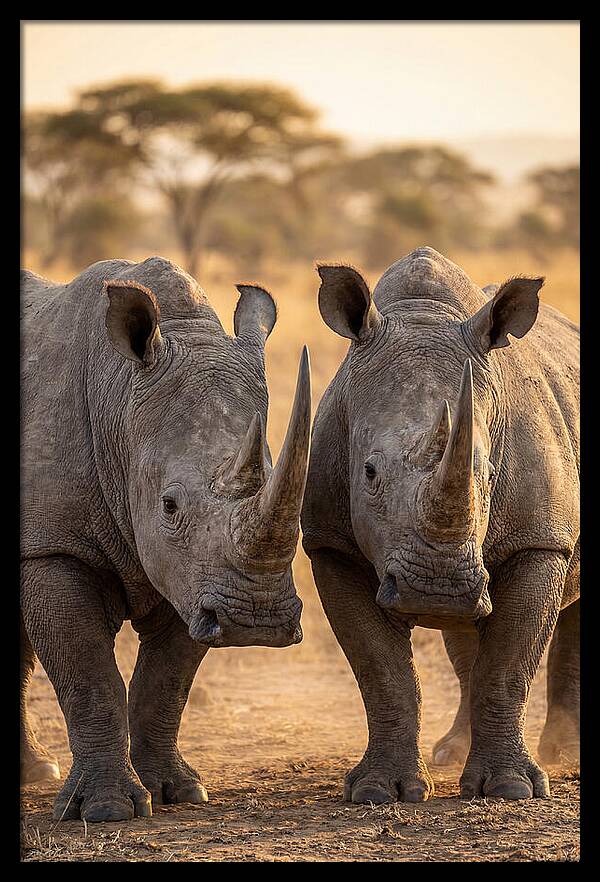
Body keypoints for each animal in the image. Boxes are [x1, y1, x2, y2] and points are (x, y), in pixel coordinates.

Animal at [21, 256, 311, 822]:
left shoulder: (195, 576)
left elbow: (166, 680)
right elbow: (88, 674)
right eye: (170, 505)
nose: (256, 621)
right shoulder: (53, 543)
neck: (118, 397)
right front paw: (106, 810)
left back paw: (36, 772)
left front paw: (177, 791)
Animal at [302, 247, 579, 803]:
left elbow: (509, 665)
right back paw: (452, 752)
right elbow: (382, 673)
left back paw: (565, 753)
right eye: (368, 473)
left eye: (488, 474)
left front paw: (512, 789)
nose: (438, 589)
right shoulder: (330, 543)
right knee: (466, 635)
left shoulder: (541, 541)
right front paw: (379, 791)